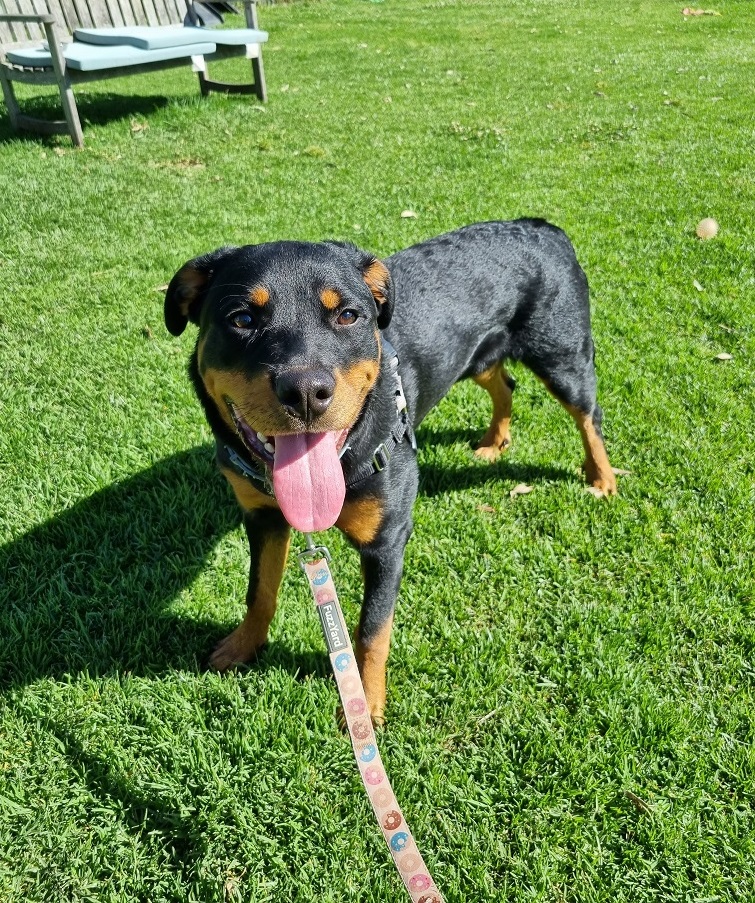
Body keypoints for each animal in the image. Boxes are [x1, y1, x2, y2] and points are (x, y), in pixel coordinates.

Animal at [164, 219, 617, 724]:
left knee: (588, 415)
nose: (305, 392)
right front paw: (242, 645)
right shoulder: (262, 516)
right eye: (241, 319)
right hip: (478, 354)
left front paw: (365, 704)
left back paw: (602, 479)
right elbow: (259, 589)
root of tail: (540, 225)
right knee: (504, 381)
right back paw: (494, 441)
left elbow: (371, 629)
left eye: (348, 315)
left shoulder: (387, 540)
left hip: (563, 354)